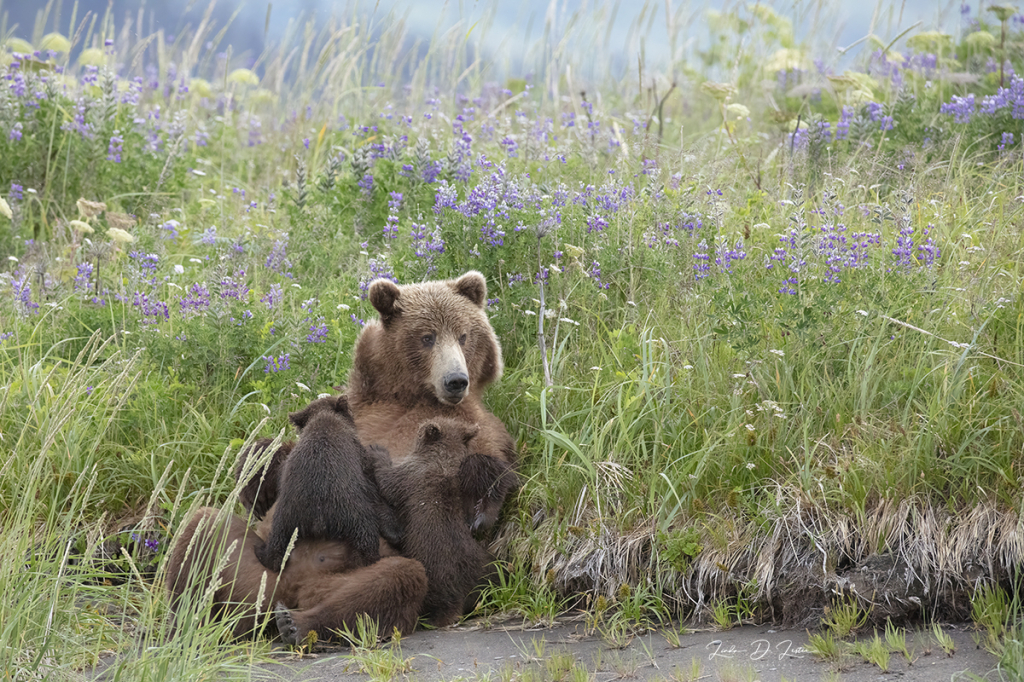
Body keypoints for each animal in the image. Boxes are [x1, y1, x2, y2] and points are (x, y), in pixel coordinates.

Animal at [165, 503, 425, 643]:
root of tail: (288, 591)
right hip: (250, 574)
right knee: (206, 523)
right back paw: (186, 626)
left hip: (322, 585)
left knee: (398, 575)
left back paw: (294, 625)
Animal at [380, 417, 499, 622]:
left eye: (420, 428)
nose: (421, 425)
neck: (443, 460)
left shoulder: (411, 475)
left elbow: (387, 480)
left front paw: (376, 454)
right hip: (480, 564)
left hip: (432, 568)